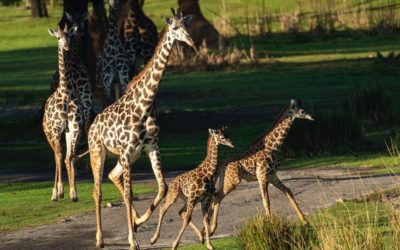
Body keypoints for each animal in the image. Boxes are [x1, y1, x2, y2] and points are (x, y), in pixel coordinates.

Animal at [208, 99, 314, 234]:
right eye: (302, 111)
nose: (312, 117)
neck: (272, 147)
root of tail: (221, 166)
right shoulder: (262, 175)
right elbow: (266, 201)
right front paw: (271, 226)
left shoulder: (272, 175)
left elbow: (288, 191)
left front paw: (305, 221)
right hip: (232, 181)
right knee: (217, 196)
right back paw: (211, 230)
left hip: (226, 181)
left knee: (215, 197)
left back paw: (208, 230)